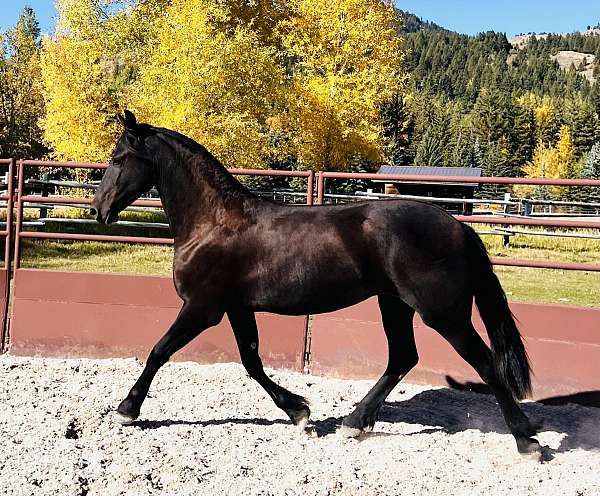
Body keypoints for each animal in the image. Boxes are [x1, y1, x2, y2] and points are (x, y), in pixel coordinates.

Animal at [91, 111, 540, 458]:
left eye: (117, 157)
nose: (98, 210)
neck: (213, 223)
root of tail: (459, 228)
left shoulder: (203, 307)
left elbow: (159, 351)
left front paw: (127, 410)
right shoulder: (237, 308)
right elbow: (252, 362)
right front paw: (299, 412)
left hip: (443, 313)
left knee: (485, 363)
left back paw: (527, 441)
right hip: (394, 303)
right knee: (402, 358)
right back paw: (354, 422)